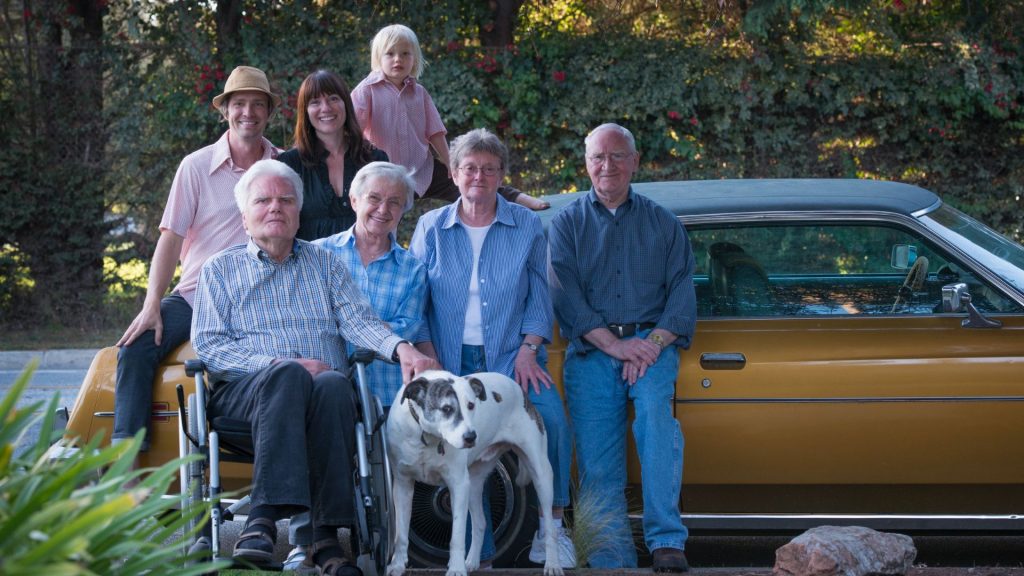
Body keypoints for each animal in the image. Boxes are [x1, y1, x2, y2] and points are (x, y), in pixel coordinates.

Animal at [385, 366, 565, 573]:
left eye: (471, 405)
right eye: (446, 409)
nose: (471, 437)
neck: (427, 436)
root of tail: (518, 388)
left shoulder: (458, 485)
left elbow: (457, 536)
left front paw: (456, 569)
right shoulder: (402, 485)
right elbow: (401, 533)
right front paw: (397, 565)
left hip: (541, 474)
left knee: (550, 526)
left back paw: (553, 564)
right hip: (473, 484)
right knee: (480, 522)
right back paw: (471, 562)